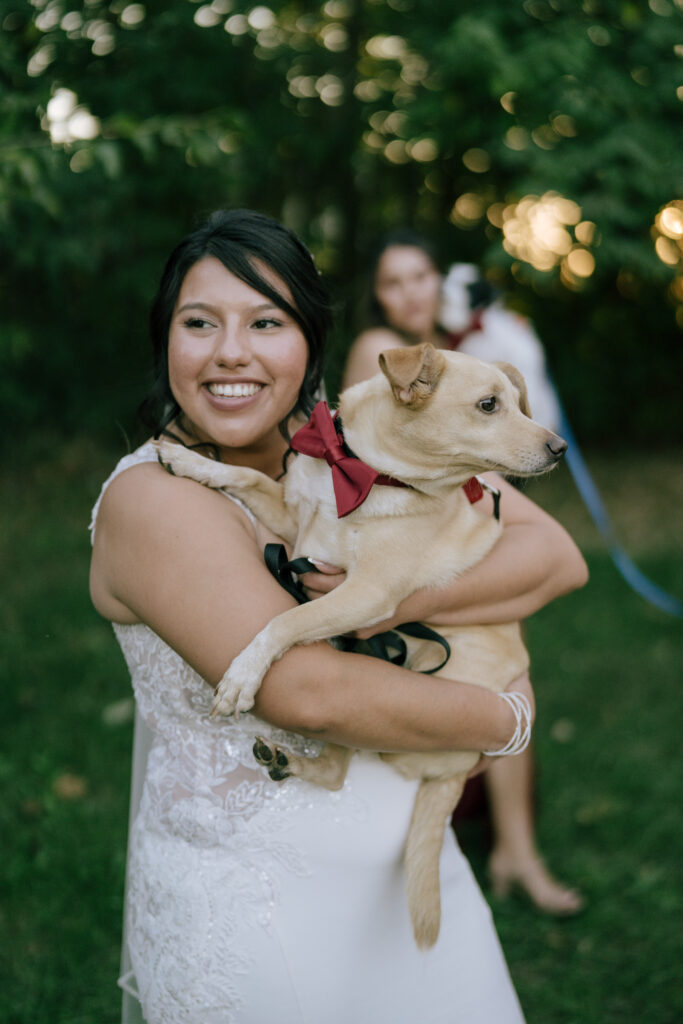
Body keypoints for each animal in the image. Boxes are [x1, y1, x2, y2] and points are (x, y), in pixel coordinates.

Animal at [157, 346, 569, 950]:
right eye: (490, 406)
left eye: (518, 403)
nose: (560, 447)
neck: (370, 475)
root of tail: (458, 770)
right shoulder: (294, 526)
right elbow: (246, 474)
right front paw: (191, 463)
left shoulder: (366, 594)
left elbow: (285, 619)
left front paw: (243, 675)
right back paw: (285, 760)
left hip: (378, 680)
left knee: (339, 765)